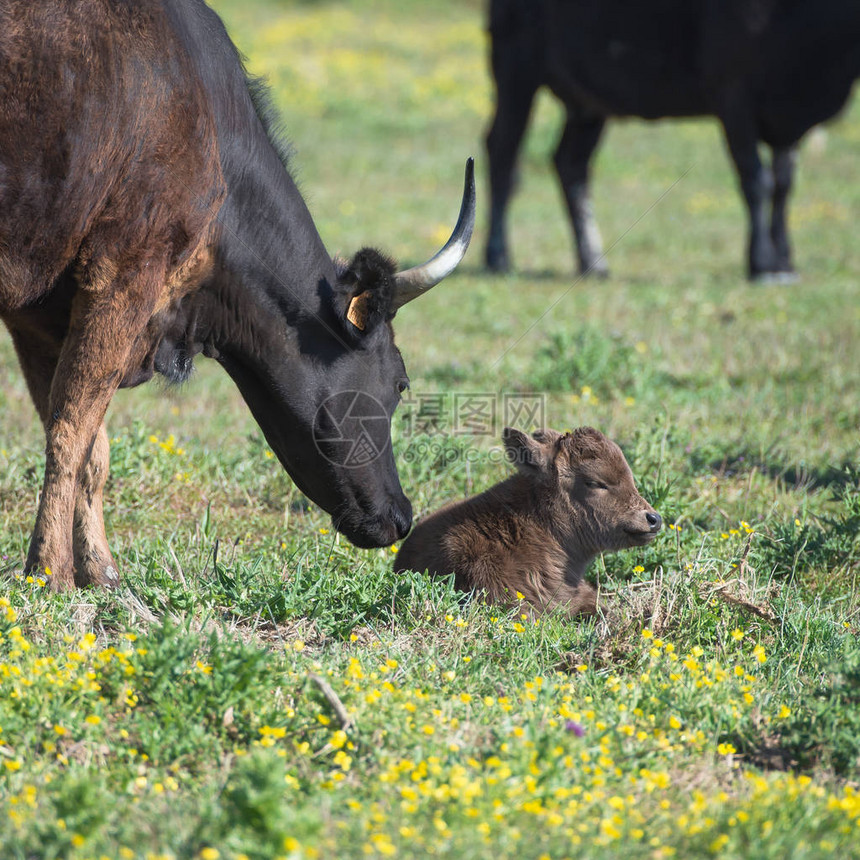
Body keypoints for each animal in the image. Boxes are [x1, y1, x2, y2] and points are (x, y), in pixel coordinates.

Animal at [0, 0, 478, 592]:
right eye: (401, 382)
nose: (401, 515)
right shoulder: (123, 272)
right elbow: (72, 431)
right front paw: (50, 573)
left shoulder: (40, 313)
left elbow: (89, 446)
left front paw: (101, 570)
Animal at [488, 0, 856, 278]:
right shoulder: (733, 95)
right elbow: (757, 180)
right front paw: (762, 263)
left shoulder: (786, 121)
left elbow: (784, 185)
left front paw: (784, 261)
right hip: (516, 67)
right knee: (503, 151)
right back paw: (498, 257)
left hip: (588, 100)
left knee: (570, 163)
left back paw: (593, 261)